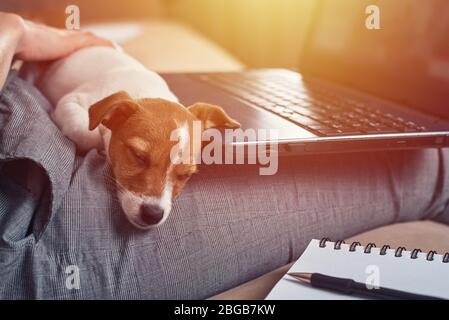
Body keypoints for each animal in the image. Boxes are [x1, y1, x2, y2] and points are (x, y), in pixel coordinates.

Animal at [36, 46, 240, 229]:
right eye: (138, 156)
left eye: (185, 175)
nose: (153, 215)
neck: (144, 89)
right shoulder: (72, 100)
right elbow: (87, 134)